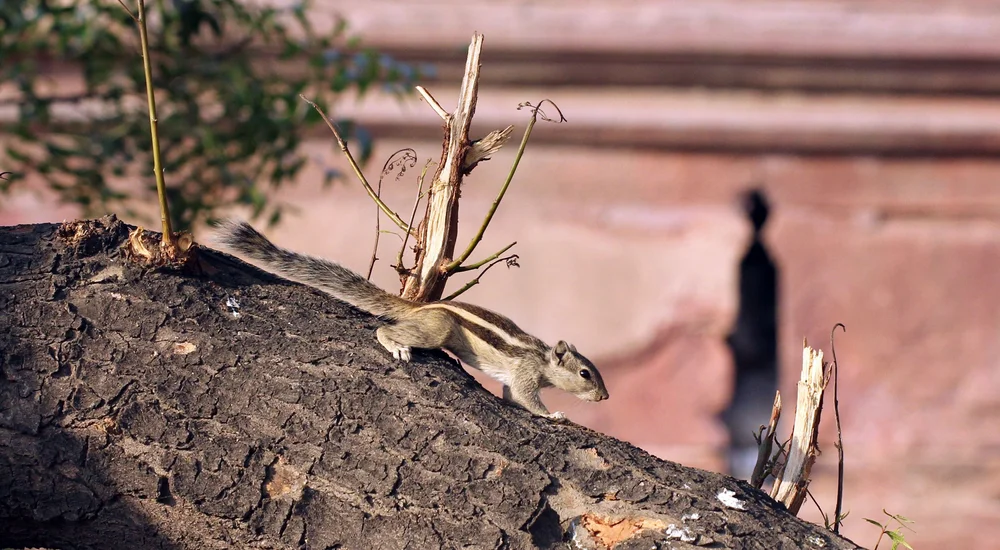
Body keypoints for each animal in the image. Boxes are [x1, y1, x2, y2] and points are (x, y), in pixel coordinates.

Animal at [213, 220, 609, 421]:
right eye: (585, 373)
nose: (605, 397)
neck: (542, 359)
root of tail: (418, 308)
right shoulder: (526, 374)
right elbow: (531, 400)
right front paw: (554, 415)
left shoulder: (515, 380)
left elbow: (513, 397)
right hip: (438, 329)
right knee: (383, 328)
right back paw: (396, 346)